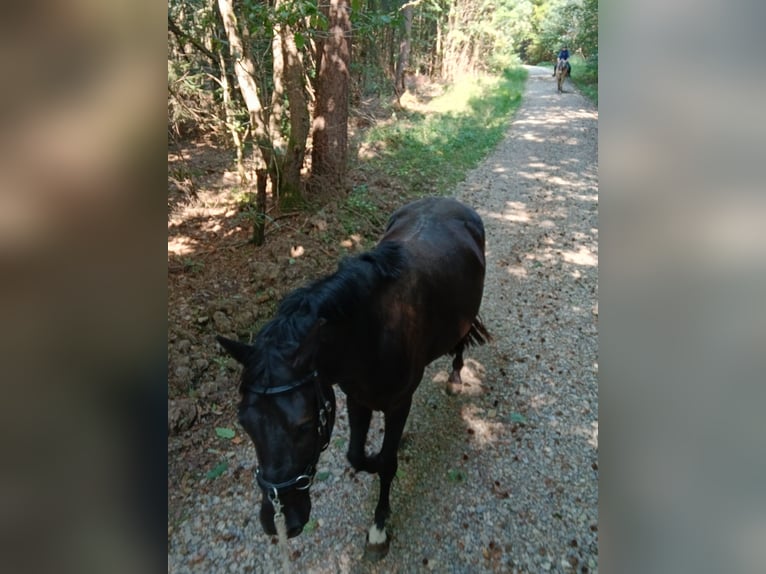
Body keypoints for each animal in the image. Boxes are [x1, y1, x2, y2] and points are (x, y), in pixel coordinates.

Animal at [218, 198, 492, 564]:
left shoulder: (398, 403)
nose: (279, 521)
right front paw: (376, 457)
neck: (370, 333)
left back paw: (456, 376)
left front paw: (378, 529)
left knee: (460, 340)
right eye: (244, 423)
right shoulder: (355, 398)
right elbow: (356, 456)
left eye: (304, 425)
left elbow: (387, 463)